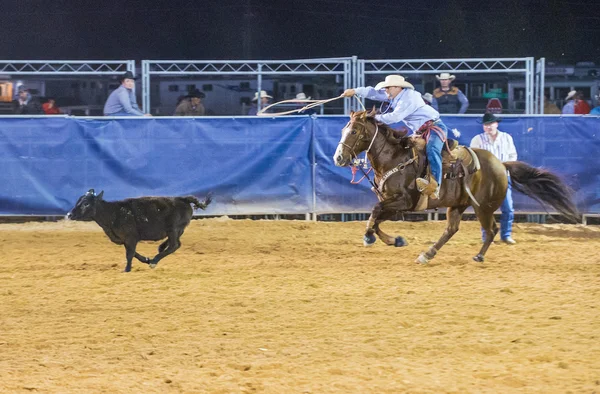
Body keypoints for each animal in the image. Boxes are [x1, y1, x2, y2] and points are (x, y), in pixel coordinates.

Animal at [67, 190, 212, 270]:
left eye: (86, 203)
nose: (69, 214)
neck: (113, 213)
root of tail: (183, 199)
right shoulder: (125, 240)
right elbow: (133, 253)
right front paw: (146, 259)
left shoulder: (131, 237)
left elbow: (130, 254)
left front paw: (127, 269)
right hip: (178, 229)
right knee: (175, 243)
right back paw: (159, 250)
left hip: (173, 229)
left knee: (174, 245)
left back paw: (154, 261)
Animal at [336, 111, 580, 264]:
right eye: (343, 130)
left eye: (354, 131)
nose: (338, 158)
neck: (395, 157)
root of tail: (502, 165)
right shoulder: (394, 205)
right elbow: (376, 218)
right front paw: (394, 240)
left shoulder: (404, 201)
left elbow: (375, 213)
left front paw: (369, 238)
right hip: (458, 205)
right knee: (451, 229)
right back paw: (428, 254)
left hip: (483, 207)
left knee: (492, 229)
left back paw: (478, 256)